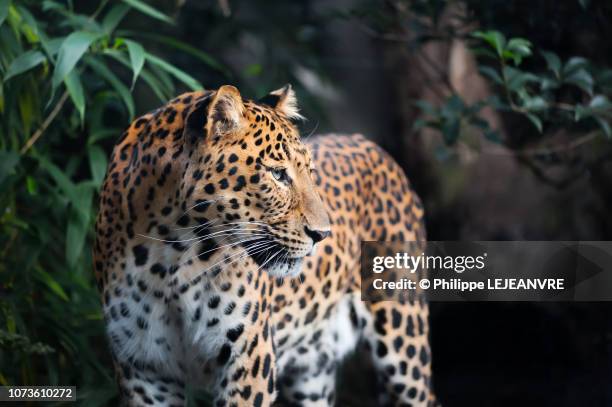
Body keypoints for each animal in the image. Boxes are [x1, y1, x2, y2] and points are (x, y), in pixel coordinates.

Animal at [94, 84, 436, 406]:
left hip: (403, 334)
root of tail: (375, 147)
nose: (323, 234)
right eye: (277, 174)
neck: (172, 252)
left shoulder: (248, 359)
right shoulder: (144, 368)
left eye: (310, 172)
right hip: (312, 372)